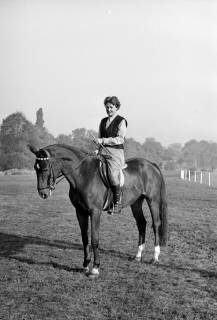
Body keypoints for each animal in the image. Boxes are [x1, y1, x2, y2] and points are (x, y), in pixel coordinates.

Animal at [28, 144, 168, 278]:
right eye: (35, 168)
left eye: (45, 169)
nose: (43, 193)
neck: (83, 175)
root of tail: (151, 164)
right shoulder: (80, 212)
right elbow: (85, 239)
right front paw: (85, 265)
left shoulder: (95, 212)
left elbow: (94, 239)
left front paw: (95, 269)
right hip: (136, 202)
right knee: (141, 223)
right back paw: (138, 256)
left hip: (153, 200)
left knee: (156, 224)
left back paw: (155, 257)